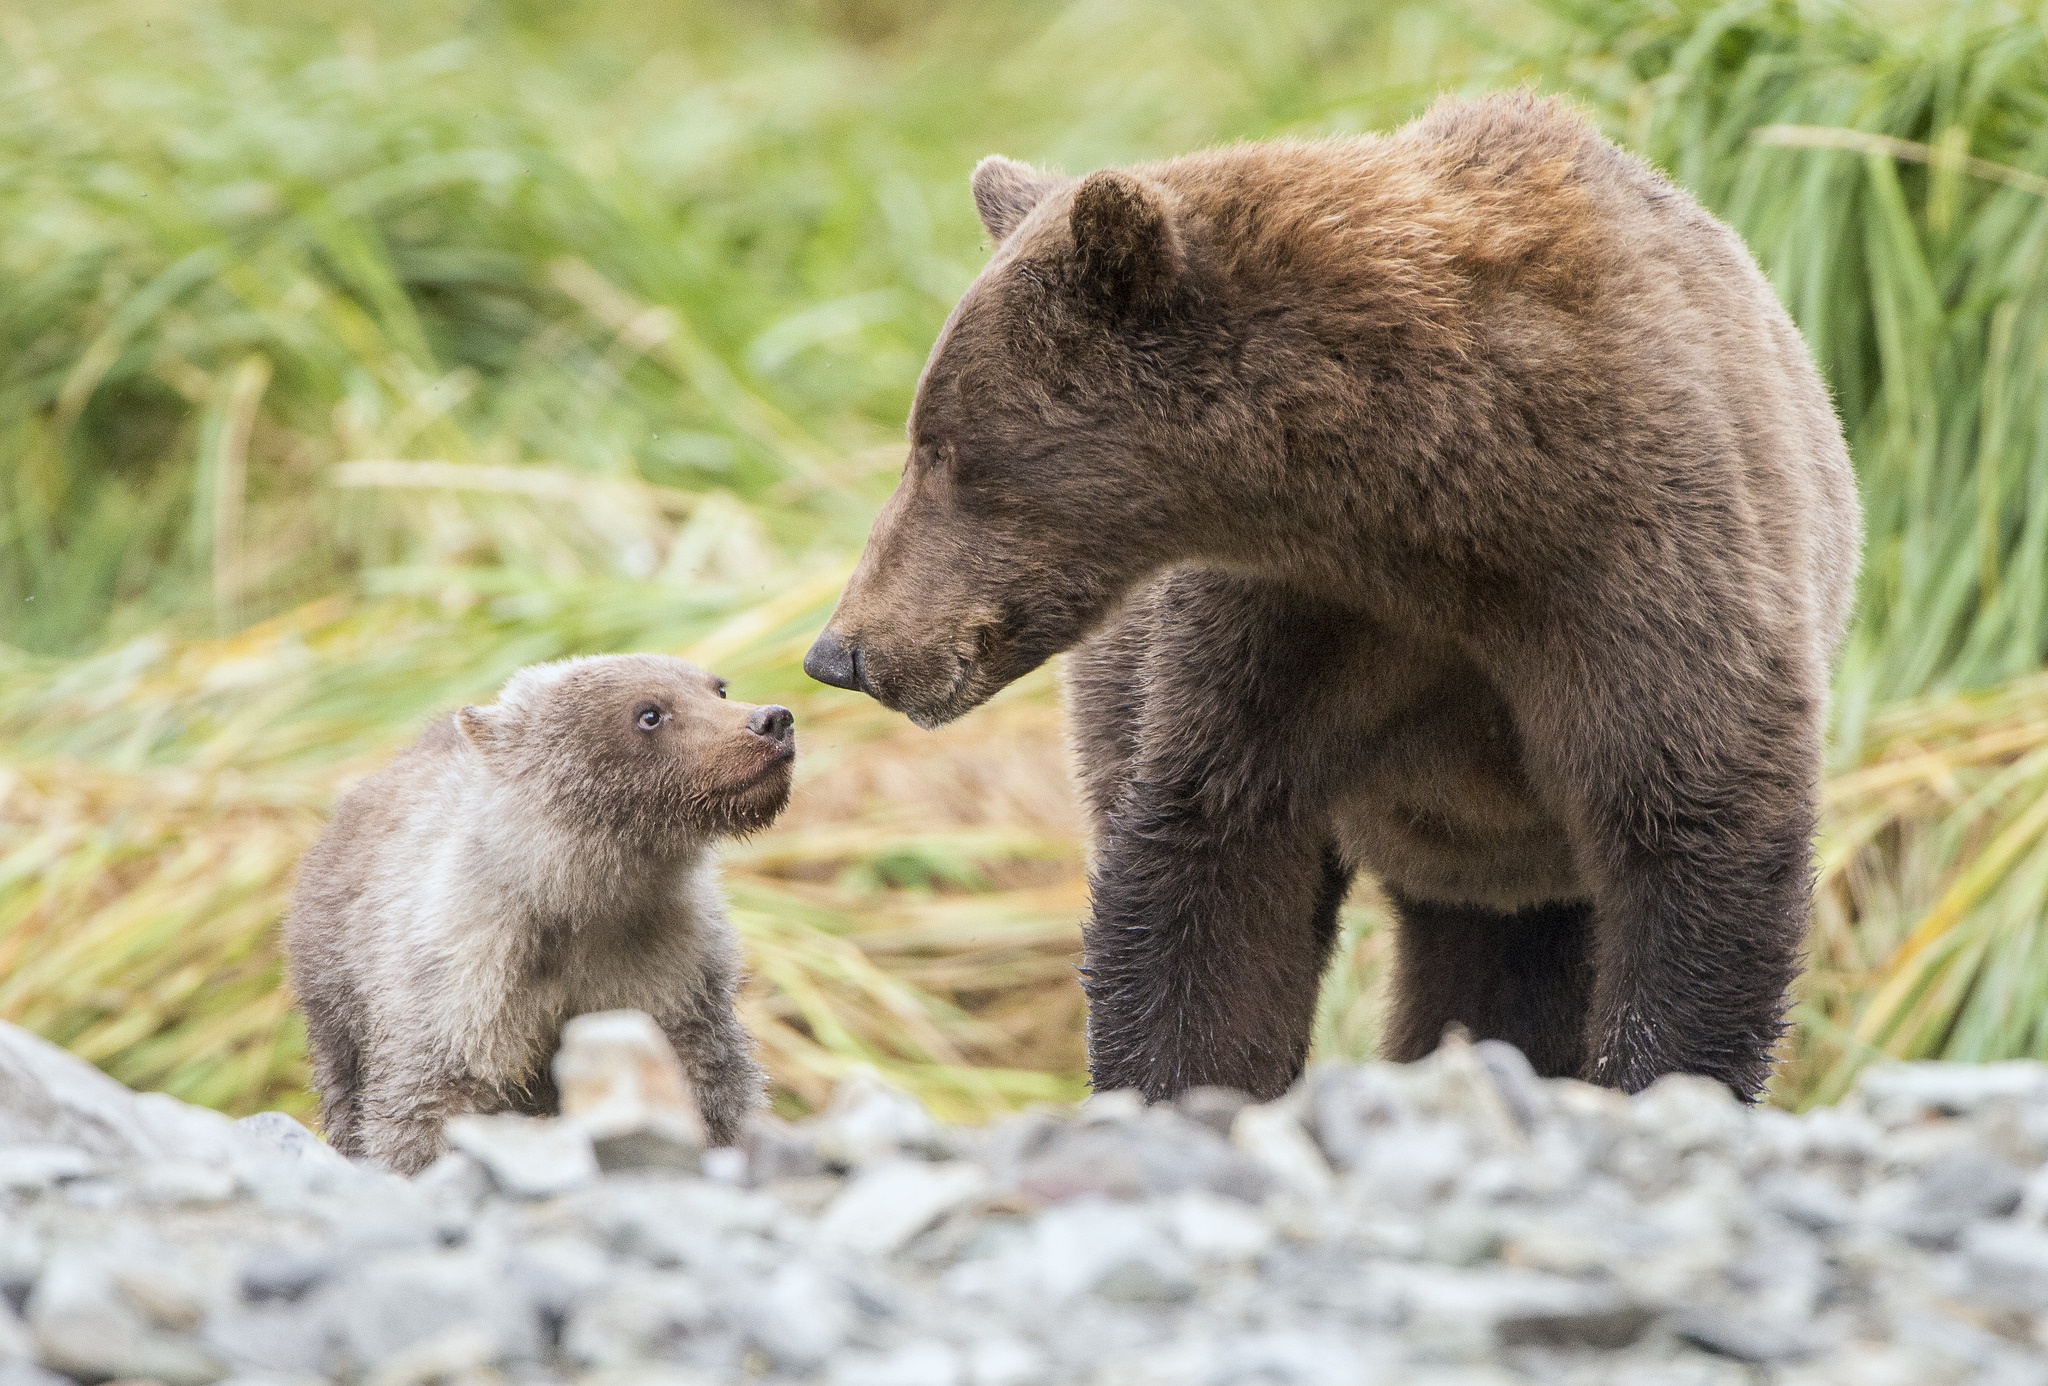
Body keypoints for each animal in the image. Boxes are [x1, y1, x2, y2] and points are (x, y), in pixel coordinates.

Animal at [806, 92, 1867, 1105]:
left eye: (942, 447)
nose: (839, 651)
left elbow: (1694, 842)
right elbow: (1210, 871)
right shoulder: (1293, 628)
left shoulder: (1648, 567)